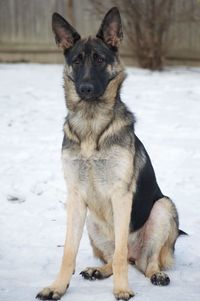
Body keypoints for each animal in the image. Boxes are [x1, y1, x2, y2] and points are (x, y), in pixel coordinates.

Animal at [37, 7, 183, 300]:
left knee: (143, 261)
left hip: (163, 208)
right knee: (114, 258)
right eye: (77, 61)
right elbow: (69, 252)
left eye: (100, 60)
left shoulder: (121, 195)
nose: (85, 89)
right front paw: (57, 287)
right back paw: (98, 270)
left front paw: (122, 289)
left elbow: (120, 254)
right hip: (92, 222)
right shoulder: (76, 197)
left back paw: (157, 274)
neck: (92, 125)